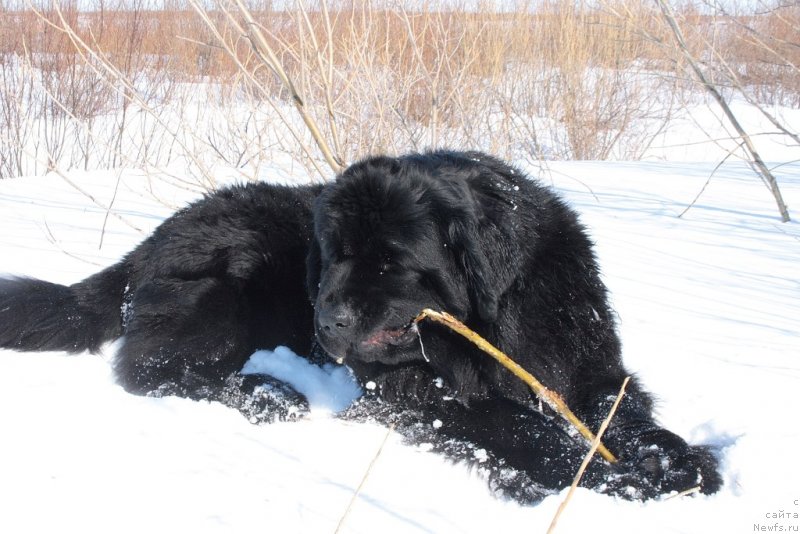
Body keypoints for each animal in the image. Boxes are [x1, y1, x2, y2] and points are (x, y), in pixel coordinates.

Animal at [0, 152, 720, 506]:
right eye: (330, 254)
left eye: (390, 262)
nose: (327, 316)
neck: (496, 326)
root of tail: (147, 243)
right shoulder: (420, 395)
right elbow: (516, 428)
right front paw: (608, 479)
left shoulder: (583, 362)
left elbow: (615, 409)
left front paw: (676, 459)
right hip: (232, 286)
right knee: (149, 366)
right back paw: (267, 393)